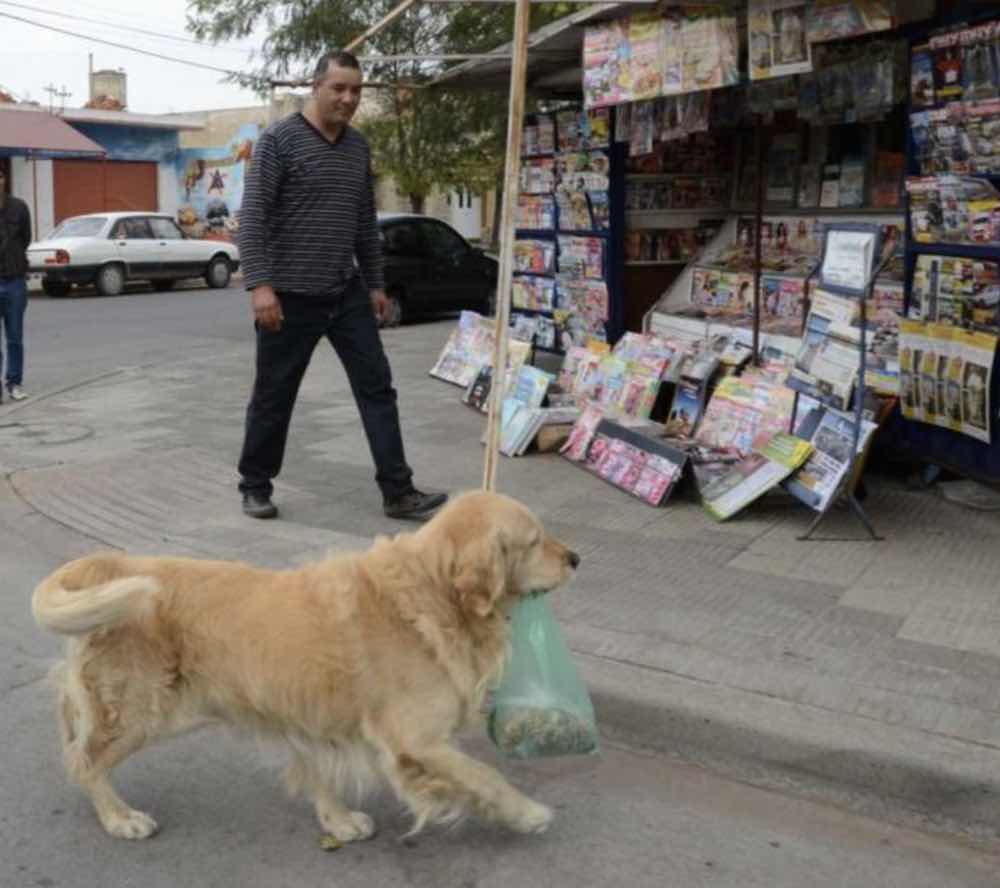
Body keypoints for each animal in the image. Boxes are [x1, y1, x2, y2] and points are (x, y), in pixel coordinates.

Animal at [33, 490, 580, 844]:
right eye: (534, 540)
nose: (576, 557)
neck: (433, 592)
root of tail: (110, 564)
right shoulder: (417, 739)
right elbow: (485, 775)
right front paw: (527, 813)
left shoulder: (315, 712)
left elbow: (319, 770)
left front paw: (337, 821)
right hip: (144, 710)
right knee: (83, 760)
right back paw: (119, 818)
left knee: (69, 711)